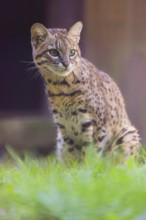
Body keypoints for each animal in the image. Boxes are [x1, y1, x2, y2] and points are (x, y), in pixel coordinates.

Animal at [30, 21, 140, 162]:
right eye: (53, 52)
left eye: (72, 52)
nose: (66, 64)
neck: (60, 86)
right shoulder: (63, 124)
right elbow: (72, 151)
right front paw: (74, 167)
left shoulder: (96, 122)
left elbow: (91, 151)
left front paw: (88, 166)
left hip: (129, 134)